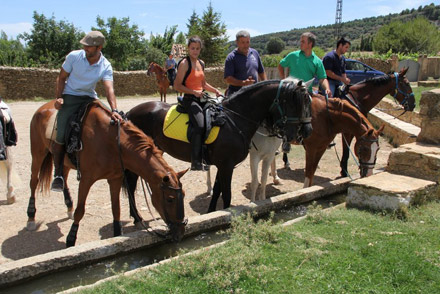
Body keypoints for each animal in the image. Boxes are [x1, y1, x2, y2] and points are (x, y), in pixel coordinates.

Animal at [27, 100, 186, 247]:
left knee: (63, 178)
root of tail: (44, 107)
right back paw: (31, 217)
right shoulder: (86, 179)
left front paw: (117, 235)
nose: (180, 231)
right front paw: (71, 240)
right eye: (170, 199)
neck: (112, 142)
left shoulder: (115, 178)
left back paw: (68, 205)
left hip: (64, 161)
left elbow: (116, 209)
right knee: (34, 181)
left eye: (183, 195)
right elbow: (80, 210)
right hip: (37, 153)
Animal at [125, 78, 314, 216]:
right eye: (294, 104)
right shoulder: (227, 166)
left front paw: (211, 213)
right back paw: (136, 217)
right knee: (131, 183)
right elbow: (227, 194)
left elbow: (217, 190)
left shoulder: (222, 165)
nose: (302, 132)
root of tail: (129, 113)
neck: (235, 119)